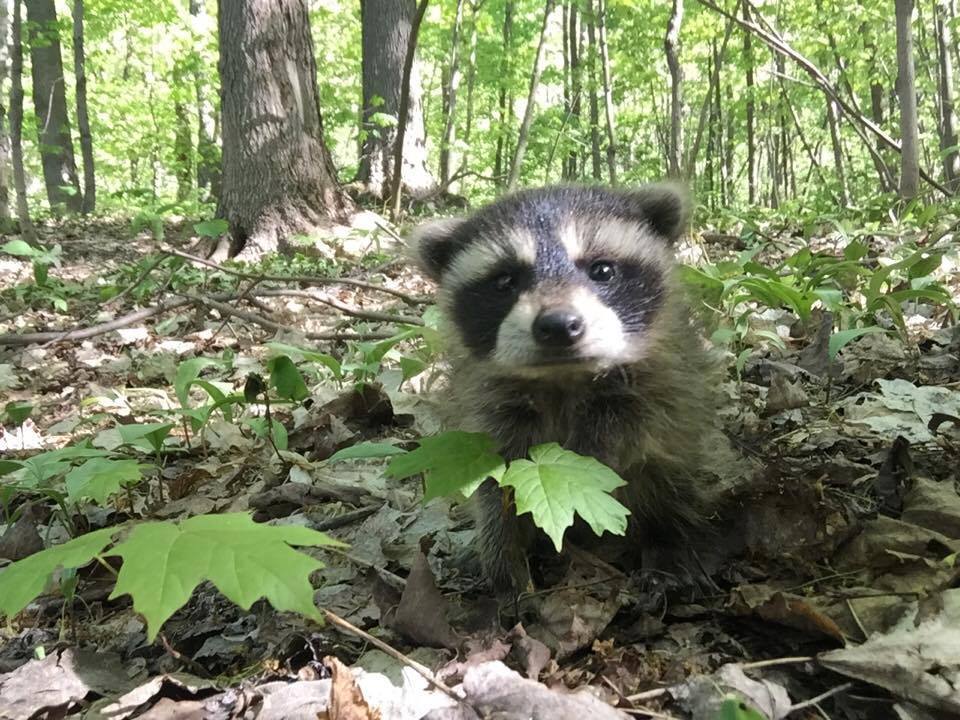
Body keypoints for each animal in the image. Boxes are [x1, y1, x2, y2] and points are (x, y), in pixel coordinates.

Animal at [412, 183, 720, 592]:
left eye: (601, 270)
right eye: (505, 281)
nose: (559, 324)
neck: (563, 377)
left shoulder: (664, 382)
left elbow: (642, 436)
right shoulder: (487, 405)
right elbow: (495, 486)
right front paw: (504, 557)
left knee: (671, 482)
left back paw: (666, 540)